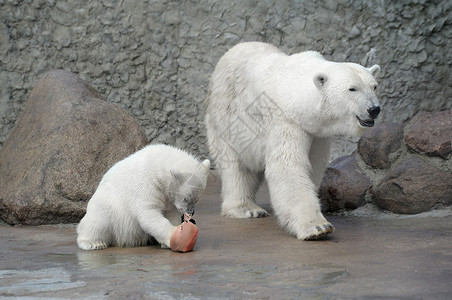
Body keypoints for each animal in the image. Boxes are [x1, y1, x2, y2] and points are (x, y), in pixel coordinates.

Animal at [206, 41, 382, 239]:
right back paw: (247, 208)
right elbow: (288, 165)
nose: (374, 109)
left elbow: (313, 166)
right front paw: (318, 227)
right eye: (352, 88)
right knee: (235, 165)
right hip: (226, 115)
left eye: (374, 86)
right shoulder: (286, 119)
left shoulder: (316, 132)